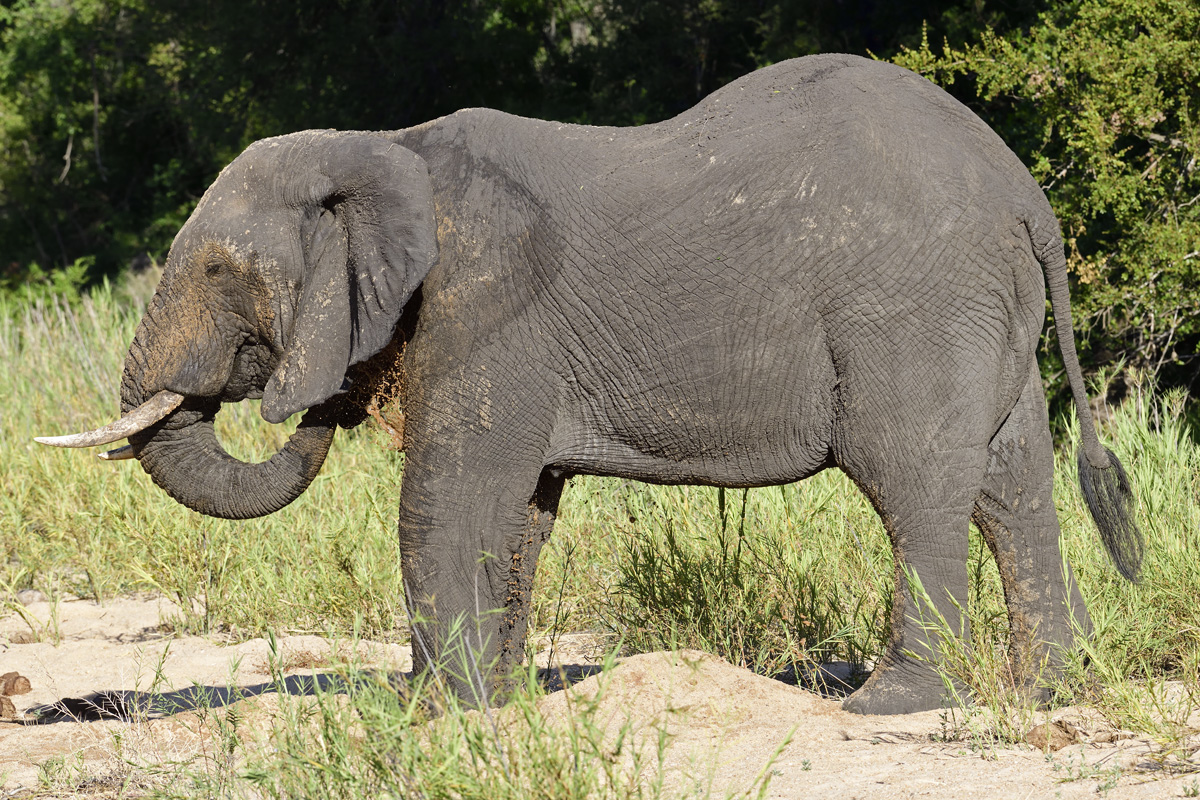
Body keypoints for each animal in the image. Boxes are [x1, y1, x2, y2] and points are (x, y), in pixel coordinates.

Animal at [39, 53, 1142, 715]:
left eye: (219, 269)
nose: (313, 395)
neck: (385, 147)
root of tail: (1026, 192)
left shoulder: (486, 308)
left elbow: (448, 496)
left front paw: (430, 715)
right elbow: (517, 513)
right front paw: (497, 705)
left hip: (912, 312)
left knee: (914, 484)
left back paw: (891, 703)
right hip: (981, 314)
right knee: (1011, 486)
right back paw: (1048, 690)